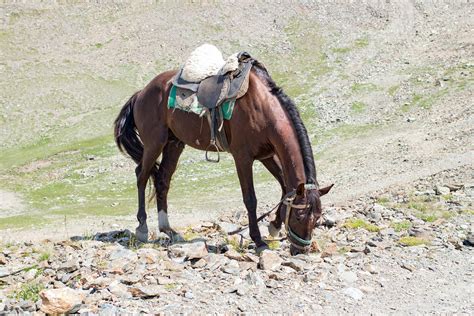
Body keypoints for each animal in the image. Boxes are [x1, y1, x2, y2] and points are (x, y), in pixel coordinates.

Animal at [113, 60, 332, 256]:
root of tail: (141, 93)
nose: (301, 250)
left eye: (317, 218)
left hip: (174, 144)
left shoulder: (267, 155)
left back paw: (169, 230)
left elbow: (286, 188)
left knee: (162, 180)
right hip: (154, 143)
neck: (262, 107)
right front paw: (259, 241)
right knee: (142, 175)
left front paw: (274, 226)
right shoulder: (243, 157)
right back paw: (142, 227)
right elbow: (250, 199)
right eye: (299, 216)